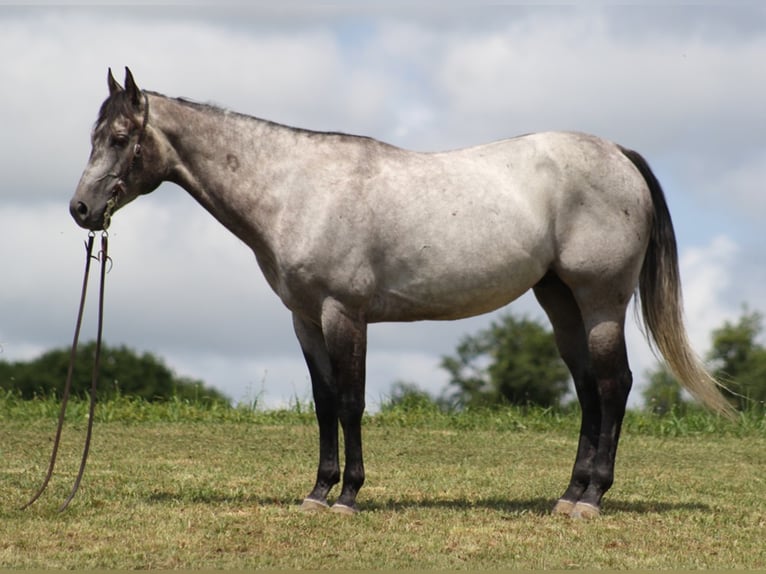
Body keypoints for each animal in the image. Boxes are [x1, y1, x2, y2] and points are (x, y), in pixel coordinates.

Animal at [72, 70, 732, 520]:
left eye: (122, 136)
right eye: (93, 135)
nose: (81, 209)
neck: (296, 188)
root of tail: (618, 153)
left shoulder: (344, 314)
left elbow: (351, 402)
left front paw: (349, 496)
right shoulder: (304, 320)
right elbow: (323, 404)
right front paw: (318, 492)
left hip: (599, 301)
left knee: (614, 385)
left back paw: (592, 499)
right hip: (560, 301)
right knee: (590, 389)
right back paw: (569, 495)